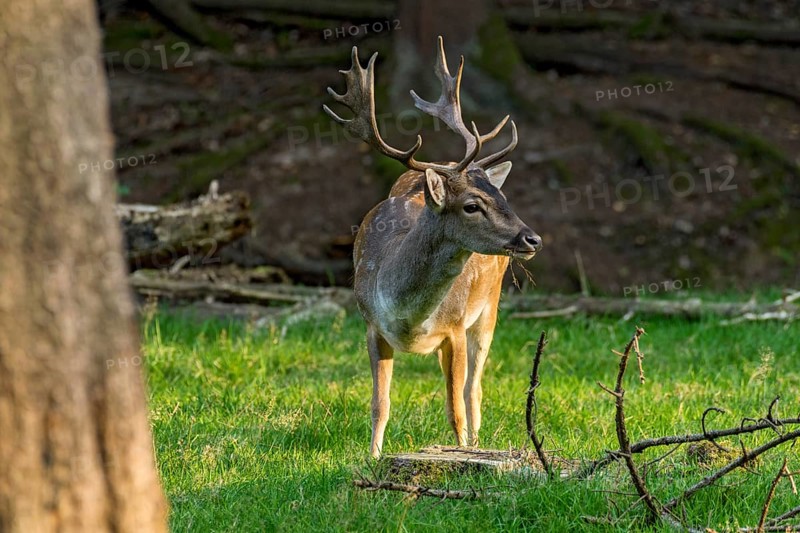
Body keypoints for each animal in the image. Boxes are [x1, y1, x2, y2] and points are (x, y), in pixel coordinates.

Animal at [324, 37, 542, 457]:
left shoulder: (454, 327)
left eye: (502, 197)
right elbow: (380, 403)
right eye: (472, 205)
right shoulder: (372, 326)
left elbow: (455, 407)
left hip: (489, 308)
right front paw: (373, 457)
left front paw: (463, 452)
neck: (406, 313)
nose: (532, 238)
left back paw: (477, 441)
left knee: (474, 389)